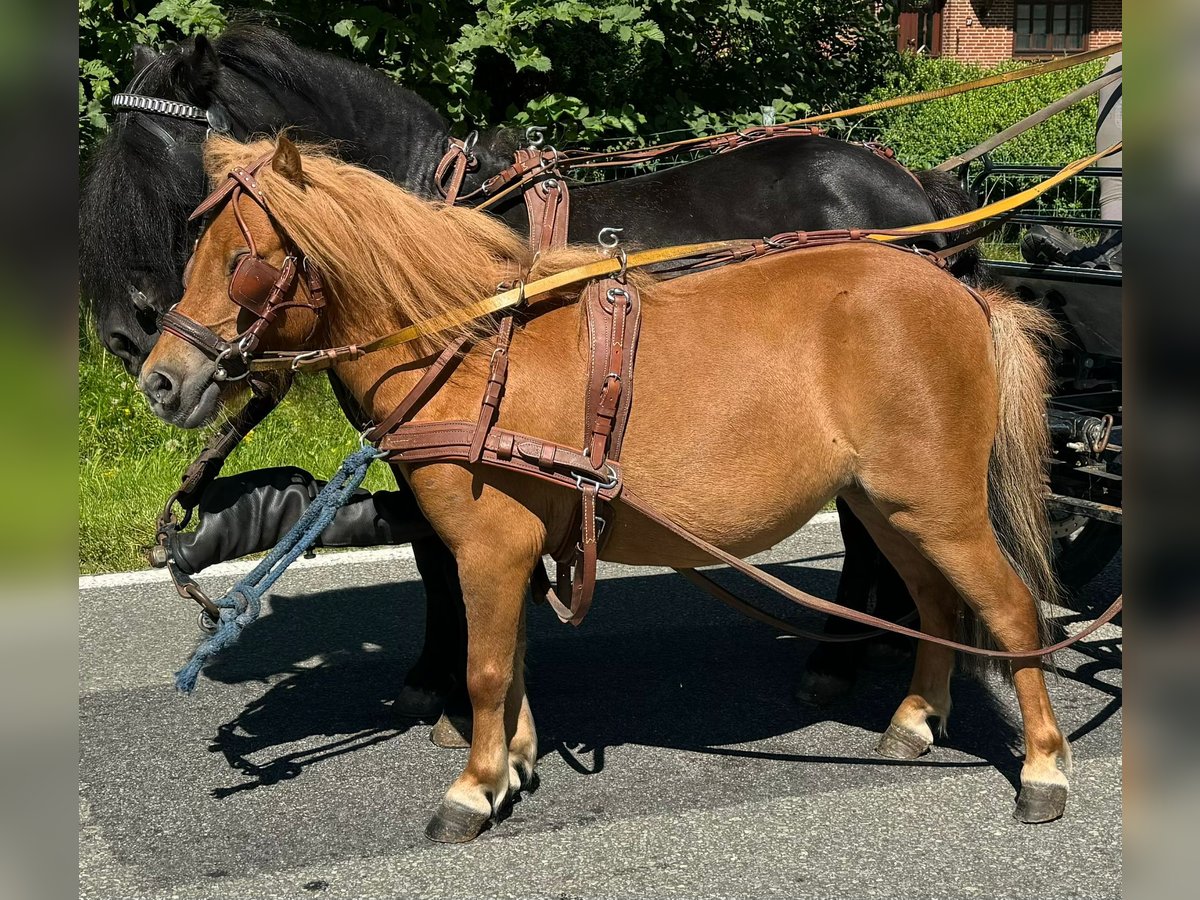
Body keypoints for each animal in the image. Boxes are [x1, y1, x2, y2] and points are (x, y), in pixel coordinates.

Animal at [77, 24, 984, 739]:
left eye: (173, 167)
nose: (130, 343)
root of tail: (914, 189)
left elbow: (438, 553)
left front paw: (441, 684)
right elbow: (433, 547)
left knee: (867, 527)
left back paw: (842, 661)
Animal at [142, 137, 1070, 844]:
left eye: (242, 263)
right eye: (194, 254)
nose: (160, 381)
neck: (471, 353)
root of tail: (961, 291)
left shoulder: (487, 546)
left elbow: (484, 666)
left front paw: (471, 787)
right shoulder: (513, 546)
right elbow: (514, 658)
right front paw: (511, 764)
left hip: (940, 506)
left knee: (1010, 612)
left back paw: (1043, 768)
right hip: (892, 505)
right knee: (936, 603)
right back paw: (914, 720)